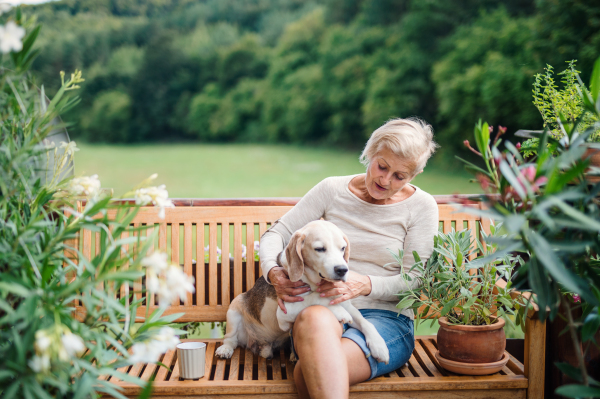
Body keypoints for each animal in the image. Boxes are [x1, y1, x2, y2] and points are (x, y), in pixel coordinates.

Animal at [214, 220, 390, 364]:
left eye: (342, 248)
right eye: (320, 249)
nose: (342, 269)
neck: (315, 283)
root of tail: (257, 343)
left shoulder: (346, 303)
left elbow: (365, 322)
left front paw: (379, 345)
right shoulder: (285, 311)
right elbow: (317, 300)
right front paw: (339, 312)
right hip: (235, 307)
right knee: (231, 339)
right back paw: (225, 349)